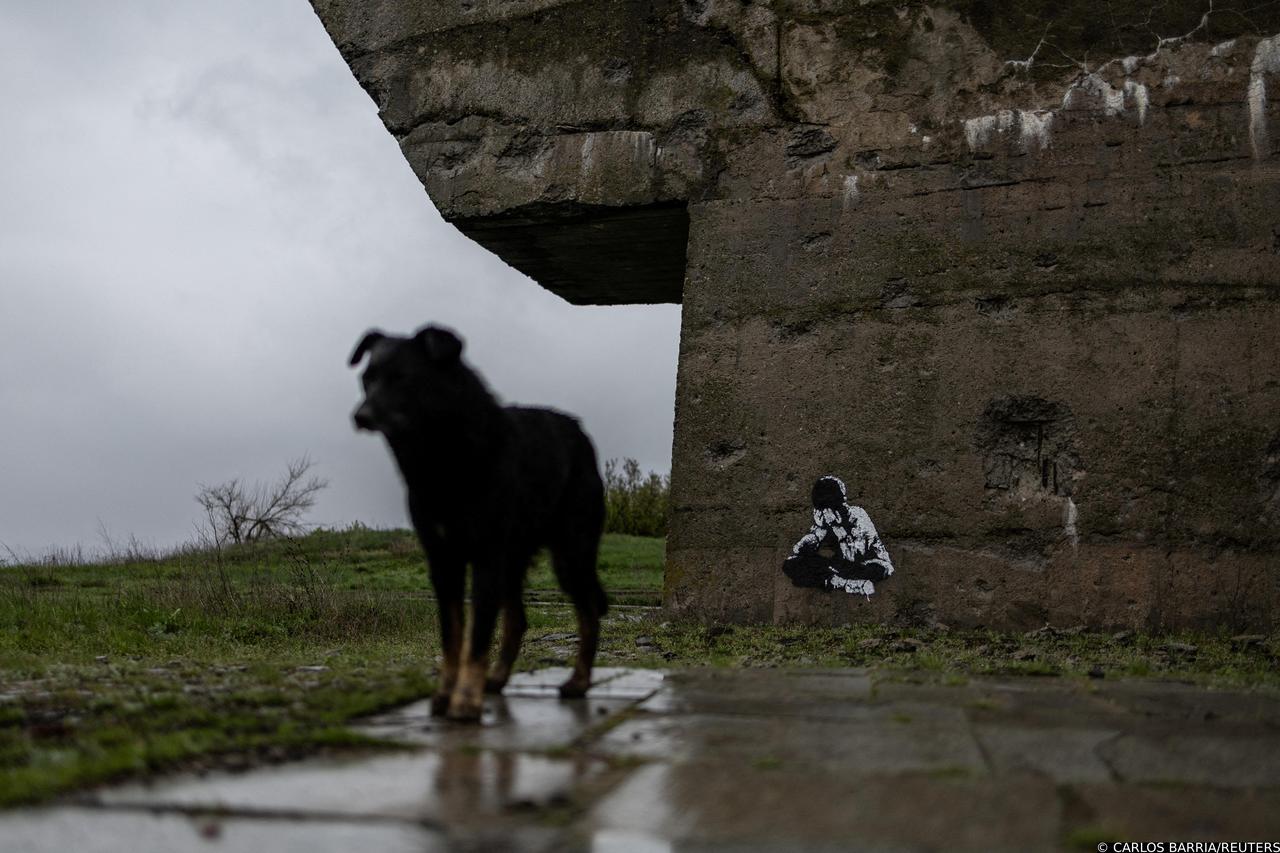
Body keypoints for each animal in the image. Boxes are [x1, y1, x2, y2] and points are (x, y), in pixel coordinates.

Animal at [350, 324, 609, 717]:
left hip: (569, 555)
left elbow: (478, 636)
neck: (444, 456)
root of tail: (578, 431)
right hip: (512, 561)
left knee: (588, 612)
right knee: (517, 620)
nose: (360, 416)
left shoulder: (485, 556)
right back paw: (498, 679)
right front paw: (447, 694)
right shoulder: (443, 562)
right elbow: (453, 637)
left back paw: (578, 682)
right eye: (367, 379)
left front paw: (466, 700)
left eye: (403, 378)